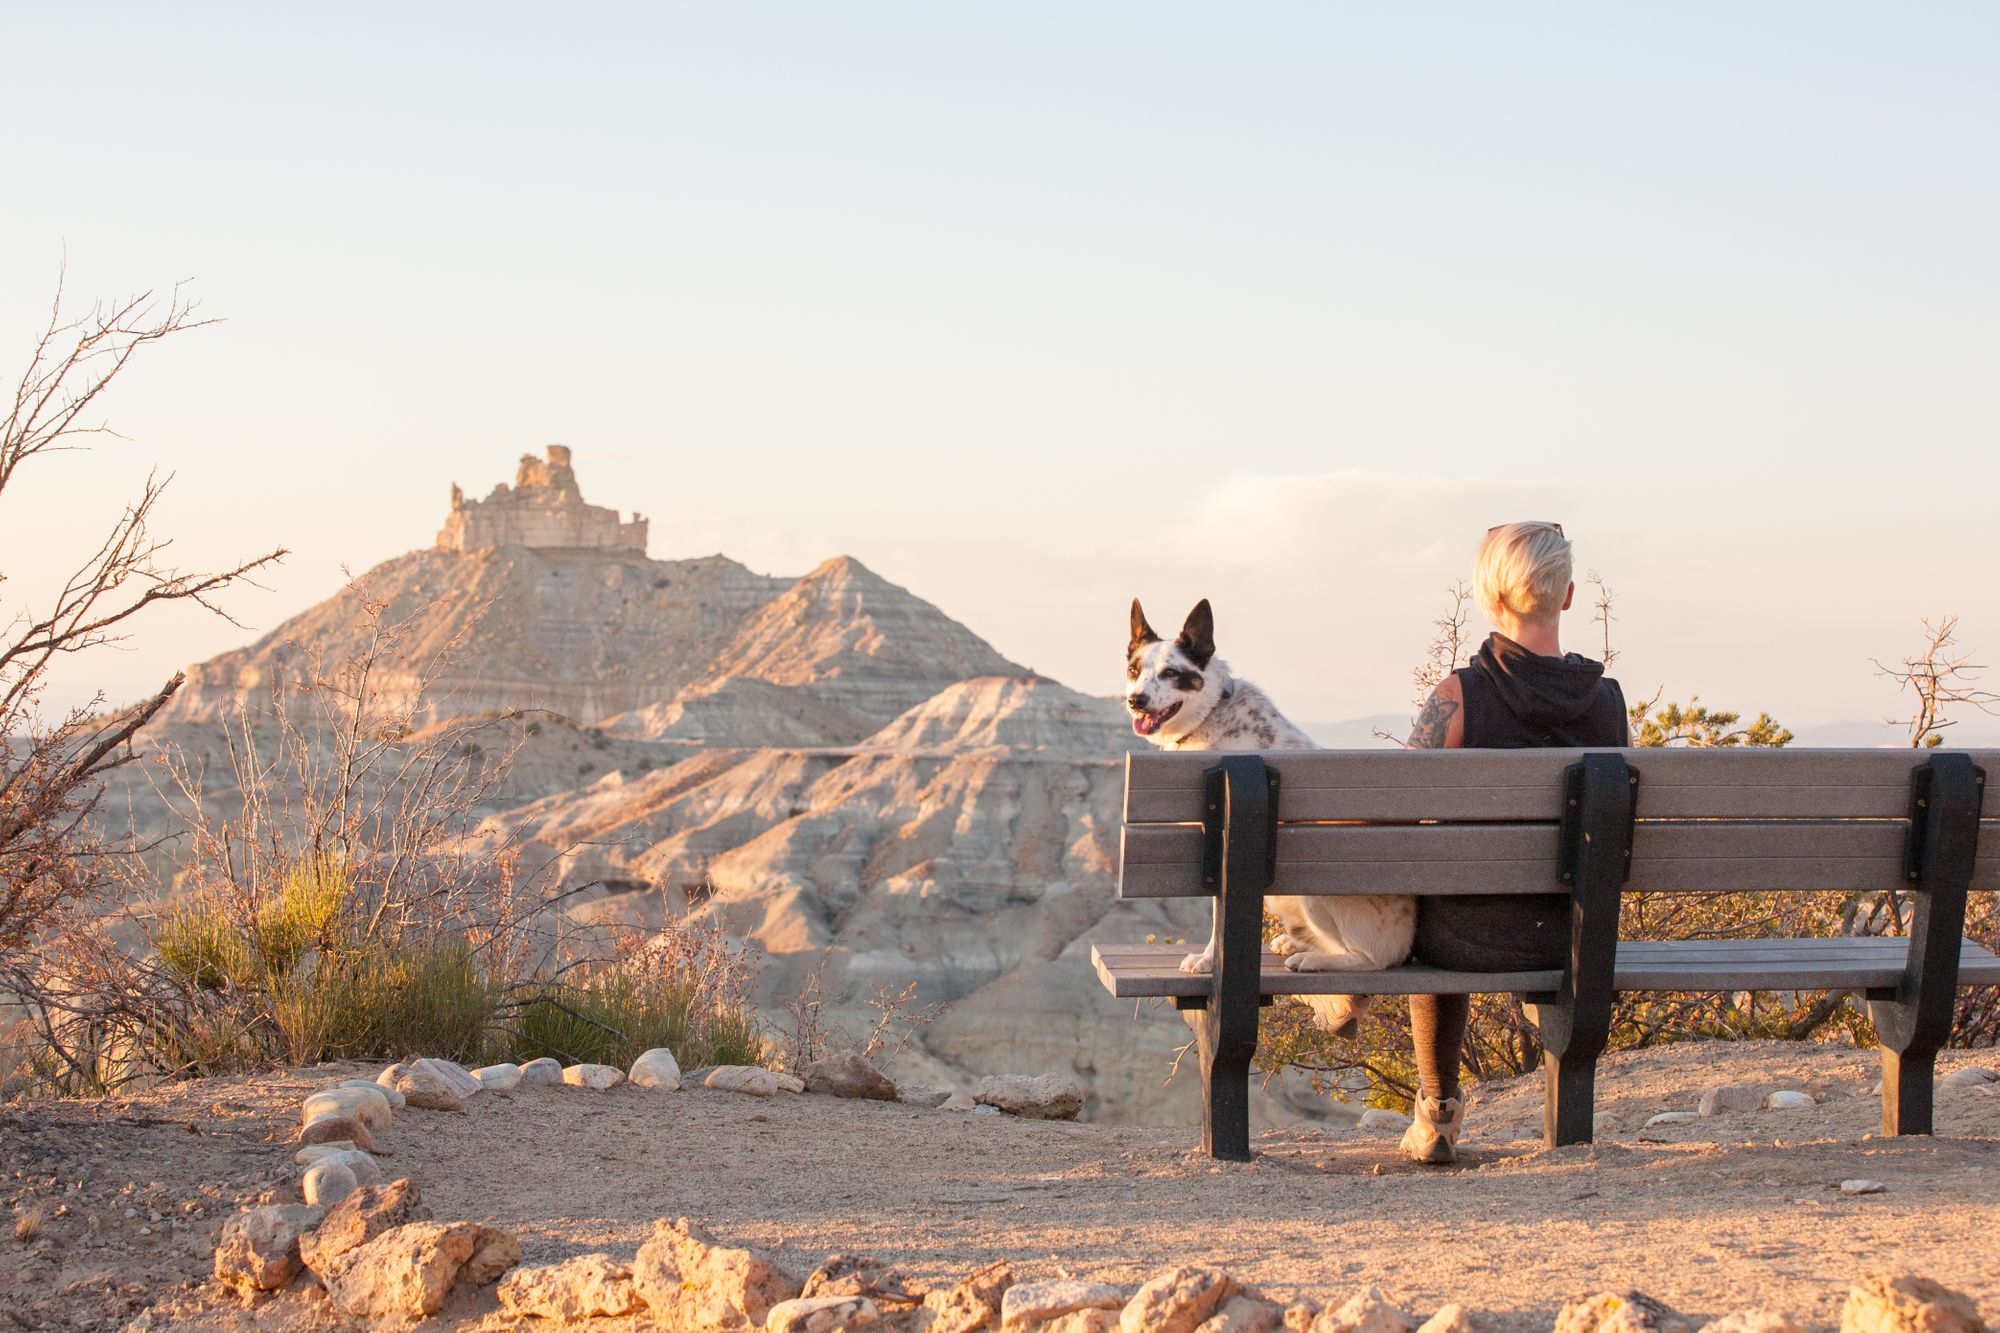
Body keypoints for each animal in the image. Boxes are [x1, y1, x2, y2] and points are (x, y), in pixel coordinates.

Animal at [1128, 592, 1424, 1040]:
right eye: (1134, 670)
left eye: (1172, 673)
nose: (1136, 700)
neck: (1212, 712)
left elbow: (1218, 924)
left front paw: (1206, 960)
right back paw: (1297, 944)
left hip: (1314, 893)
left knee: (1371, 960)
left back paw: (1315, 959)